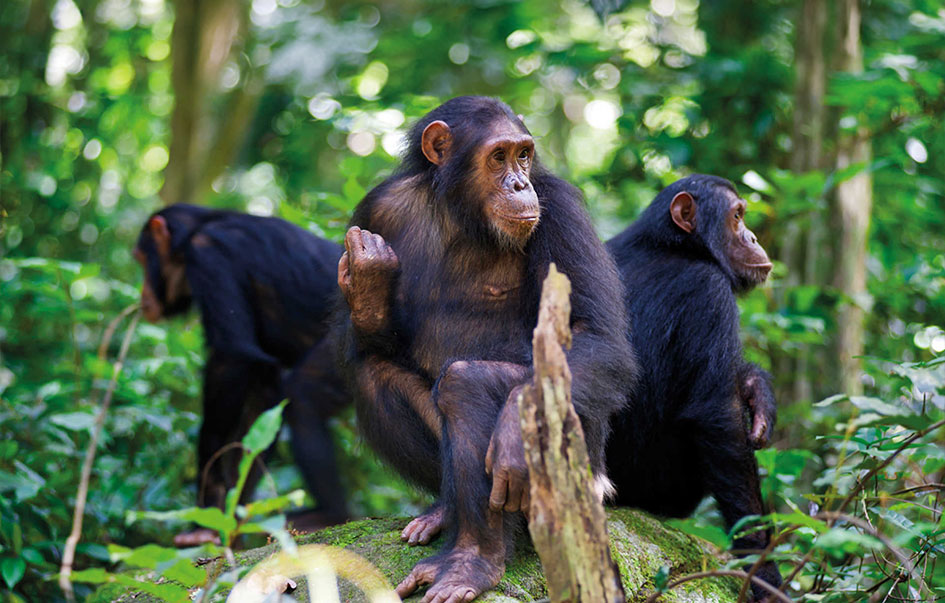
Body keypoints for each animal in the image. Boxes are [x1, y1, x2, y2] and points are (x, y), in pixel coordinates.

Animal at [134, 204, 350, 548]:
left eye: (142, 259)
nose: (142, 295)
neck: (194, 232)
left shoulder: (208, 256)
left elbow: (233, 357)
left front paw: (208, 502)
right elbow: (263, 399)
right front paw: (228, 519)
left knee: (303, 396)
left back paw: (329, 514)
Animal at [334, 95, 636, 603]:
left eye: (524, 155)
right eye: (498, 157)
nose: (519, 183)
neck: (461, 212)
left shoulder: (559, 208)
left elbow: (596, 333)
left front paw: (513, 432)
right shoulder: (375, 210)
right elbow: (365, 342)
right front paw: (370, 282)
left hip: (585, 473)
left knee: (467, 383)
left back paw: (472, 563)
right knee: (373, 374)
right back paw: (444, 516)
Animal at [604, 175, 780, 600]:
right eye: (737, 216)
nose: (752, 236)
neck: (672, 245)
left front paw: (757, 389)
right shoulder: (709, 293)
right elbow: (719, 419)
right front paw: (765, 573)